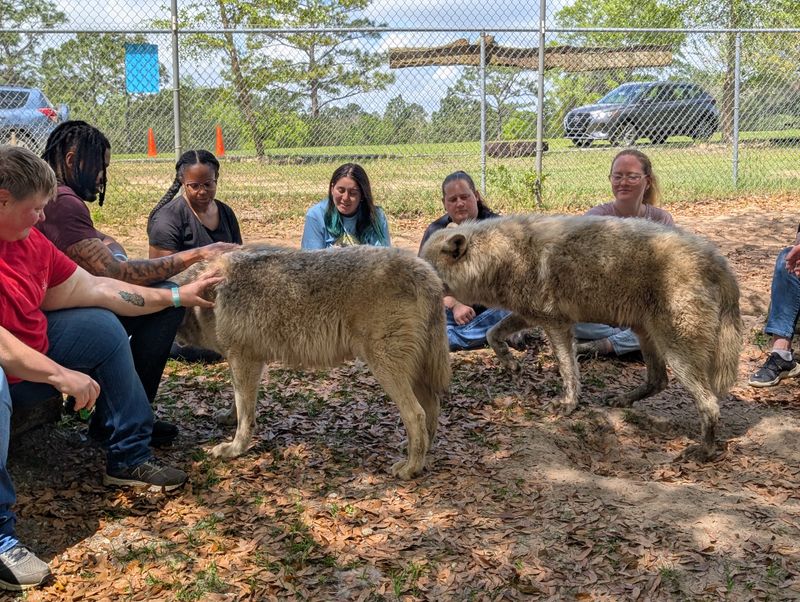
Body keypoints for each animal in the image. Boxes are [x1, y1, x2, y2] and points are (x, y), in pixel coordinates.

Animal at [173, 244, 451, 479]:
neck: (211, 291)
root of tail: (427, 272)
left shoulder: (244, 358)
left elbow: (245, 413)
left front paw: (234, 449)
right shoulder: (243, 361)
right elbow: (238, 402)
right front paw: (228, 418)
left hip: (385, 368)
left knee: (416, 414)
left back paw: (411, 467)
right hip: (413, 371)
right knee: (431, 407)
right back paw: (421, 454)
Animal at [420, 214, 742, 460]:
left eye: (426, 268)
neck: (502, 257)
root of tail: (718, 260)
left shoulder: (557, 324)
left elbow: (567, 369)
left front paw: (568, 404)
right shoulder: (529, 315)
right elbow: (491, 334)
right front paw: (511, 364)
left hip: (675, 351)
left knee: (709, 403)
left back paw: (705, 451)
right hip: (647, 335)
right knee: (658, 380)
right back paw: (623, 398)